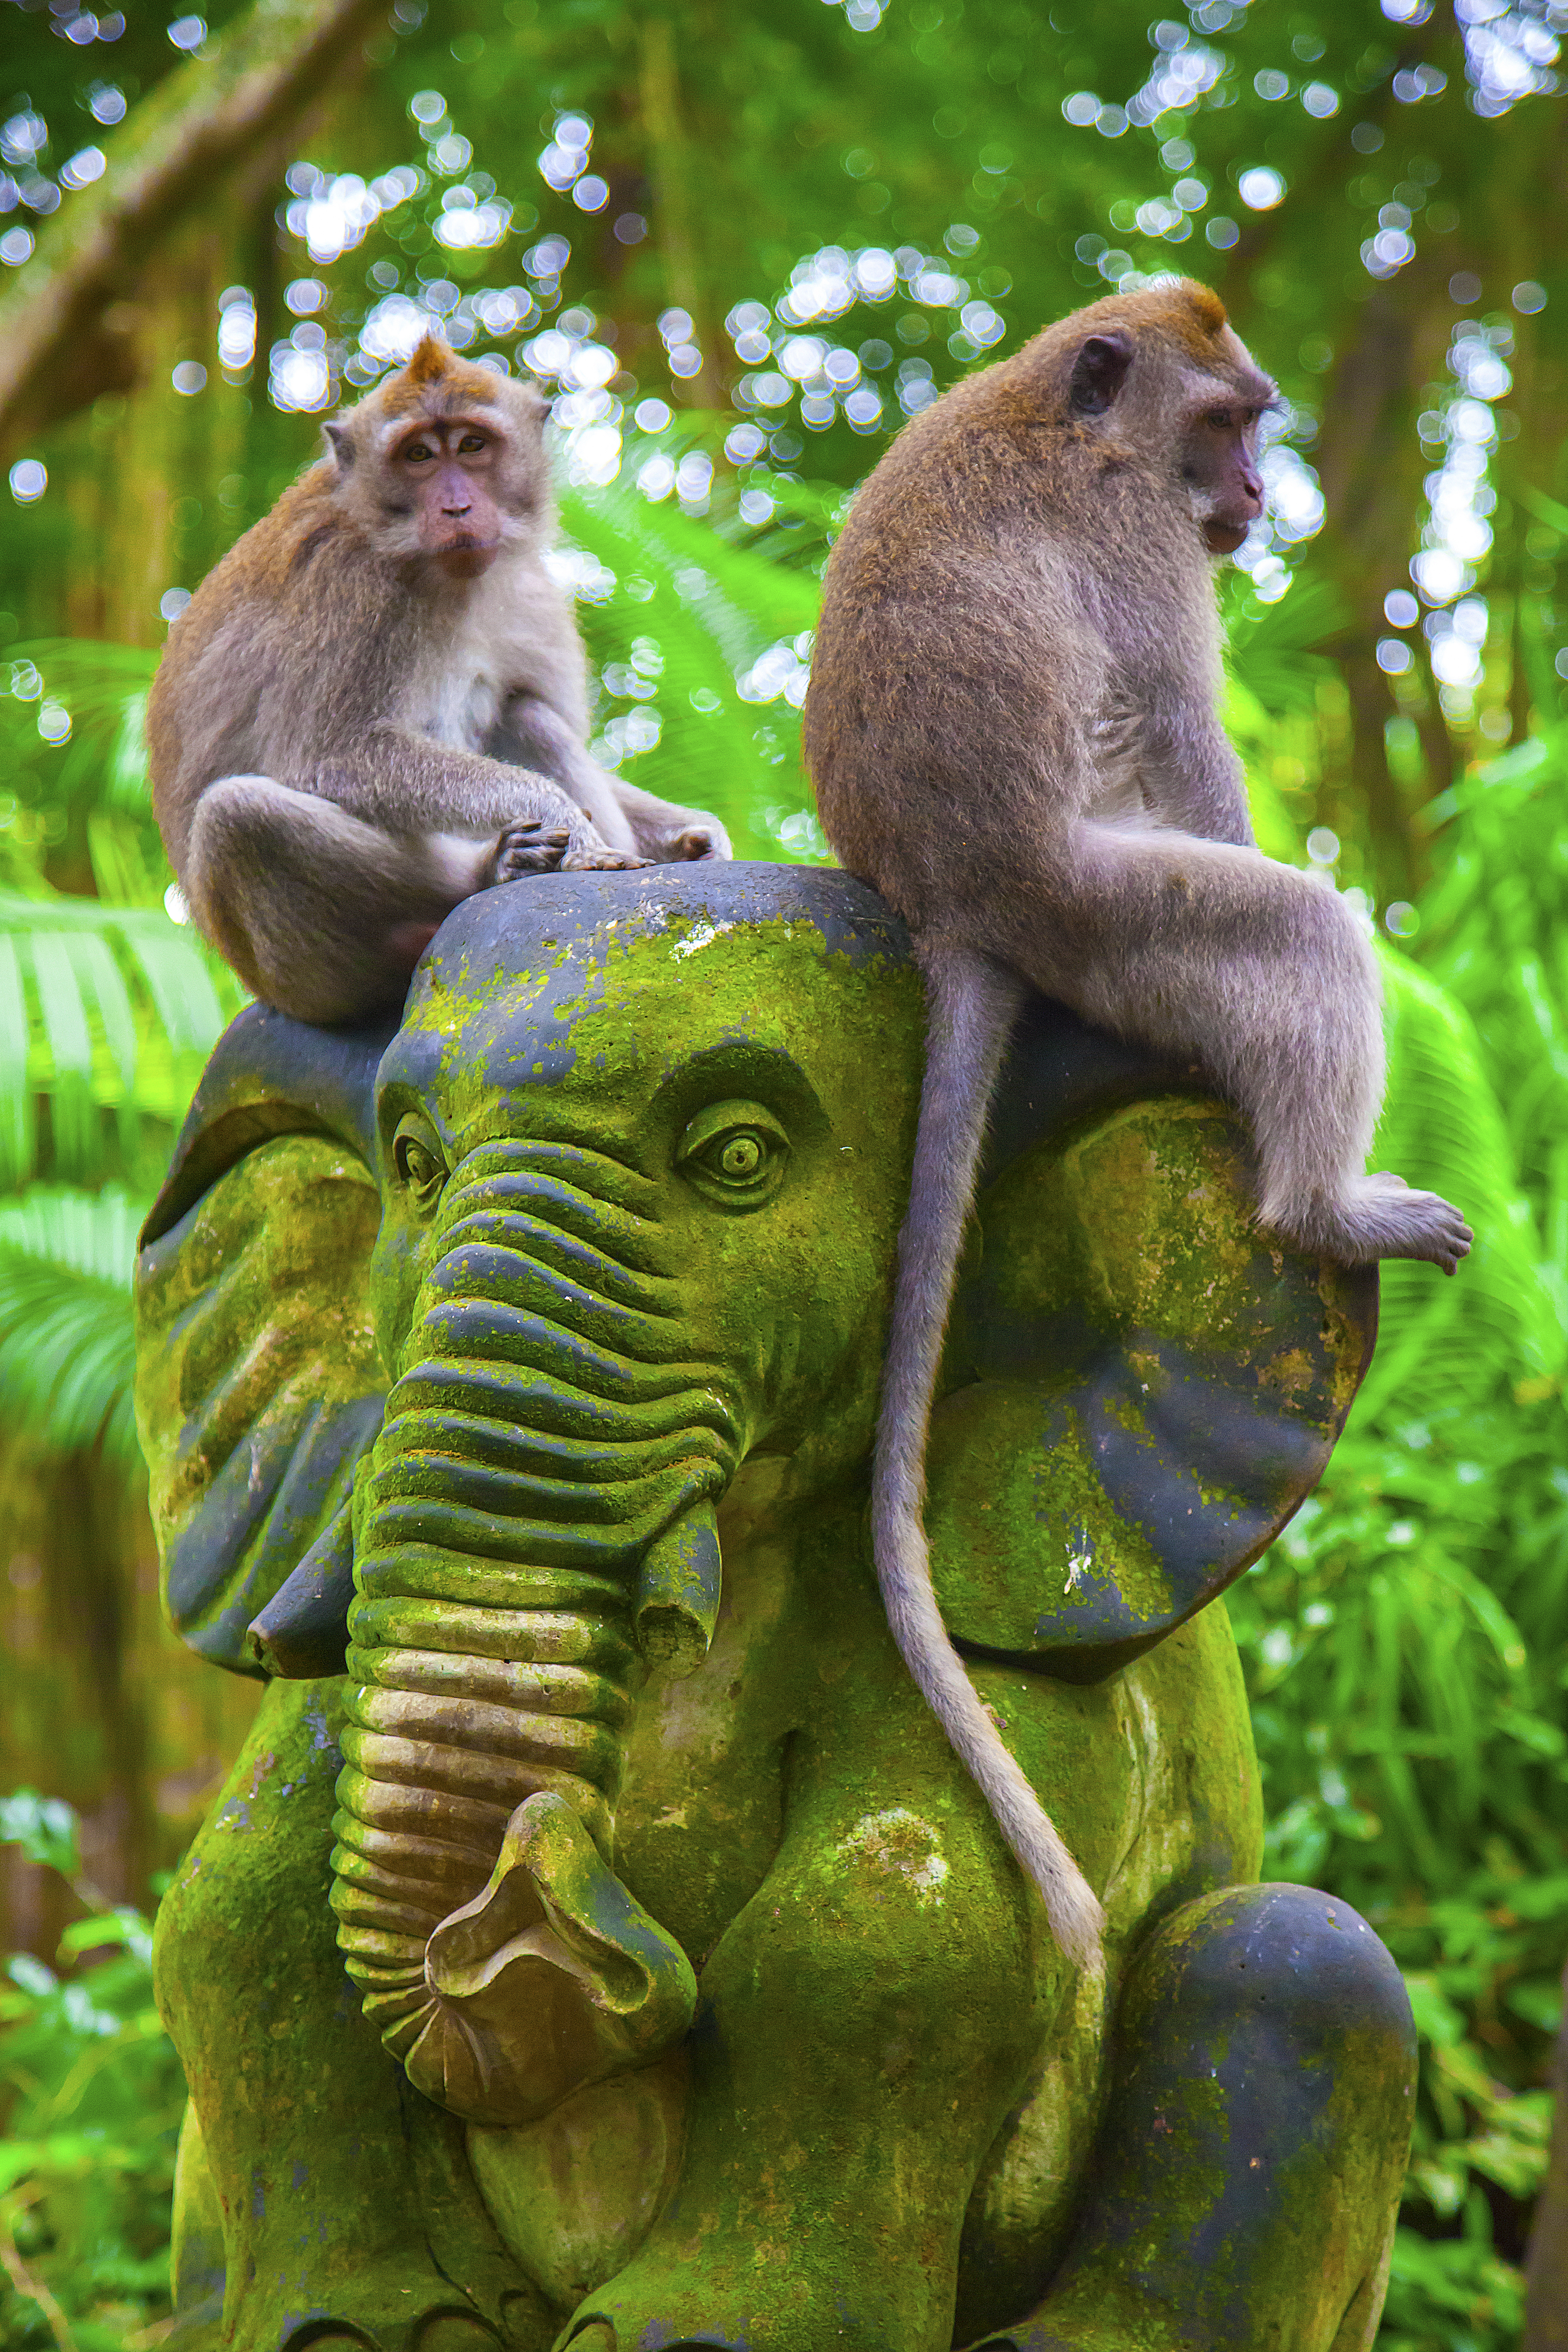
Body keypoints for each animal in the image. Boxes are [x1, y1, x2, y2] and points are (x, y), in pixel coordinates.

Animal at [148, 334, 730, 1027]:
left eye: (473, 445)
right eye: (419, 455)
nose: (457, 506)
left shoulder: (533, 597)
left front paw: (691, 835)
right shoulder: (350, 590)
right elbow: (332, 755)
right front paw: (554, 809)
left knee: (526, 713)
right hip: (300, 981)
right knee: (238, 816)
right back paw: (490, 873)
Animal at [802, 278, 1472, 1973]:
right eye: (1226, 425)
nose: (1254, 494)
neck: (1067, 419)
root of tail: (958, 911)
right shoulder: (1139, 552)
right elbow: (1188, 739)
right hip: (1112, 919)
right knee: (1293, 927)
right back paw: (1323, 1202)